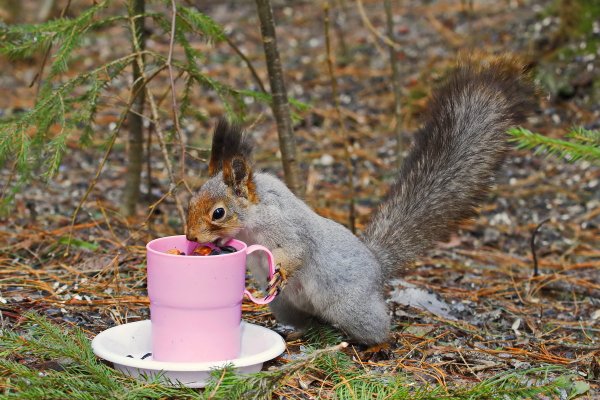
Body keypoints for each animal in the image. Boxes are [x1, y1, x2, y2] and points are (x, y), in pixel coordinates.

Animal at [186, 58, 536, 344]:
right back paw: (296, 332)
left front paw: (281, 271)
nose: (190, 236)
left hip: (351, 308)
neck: (255, 217)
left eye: (219, 212)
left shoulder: (287, 227)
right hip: (284, 305)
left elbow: (296, 252)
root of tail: (377, 267)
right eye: (190, 204)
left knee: (378, 328)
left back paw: (377, 345)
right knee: (307, 323)